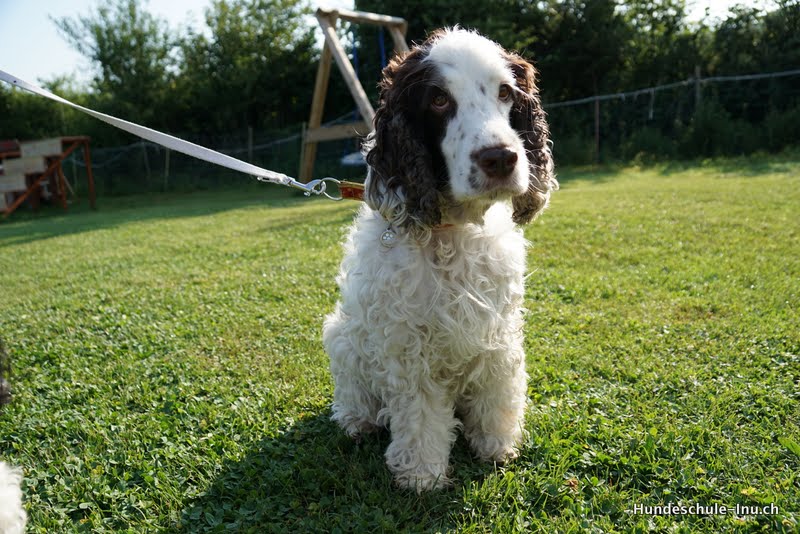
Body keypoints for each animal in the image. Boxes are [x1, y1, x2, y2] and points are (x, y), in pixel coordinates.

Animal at [323, 28, 557, 491]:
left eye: (506, 92)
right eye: (438, 100)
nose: (500, 158)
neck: (452, 234)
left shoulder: (497, 330)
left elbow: (498, 391)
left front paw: (497, 444)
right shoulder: (409, 346)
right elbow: (420, 415)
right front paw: (421, 474)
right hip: (342, 336)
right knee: (354, 392)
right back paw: (358, 421)